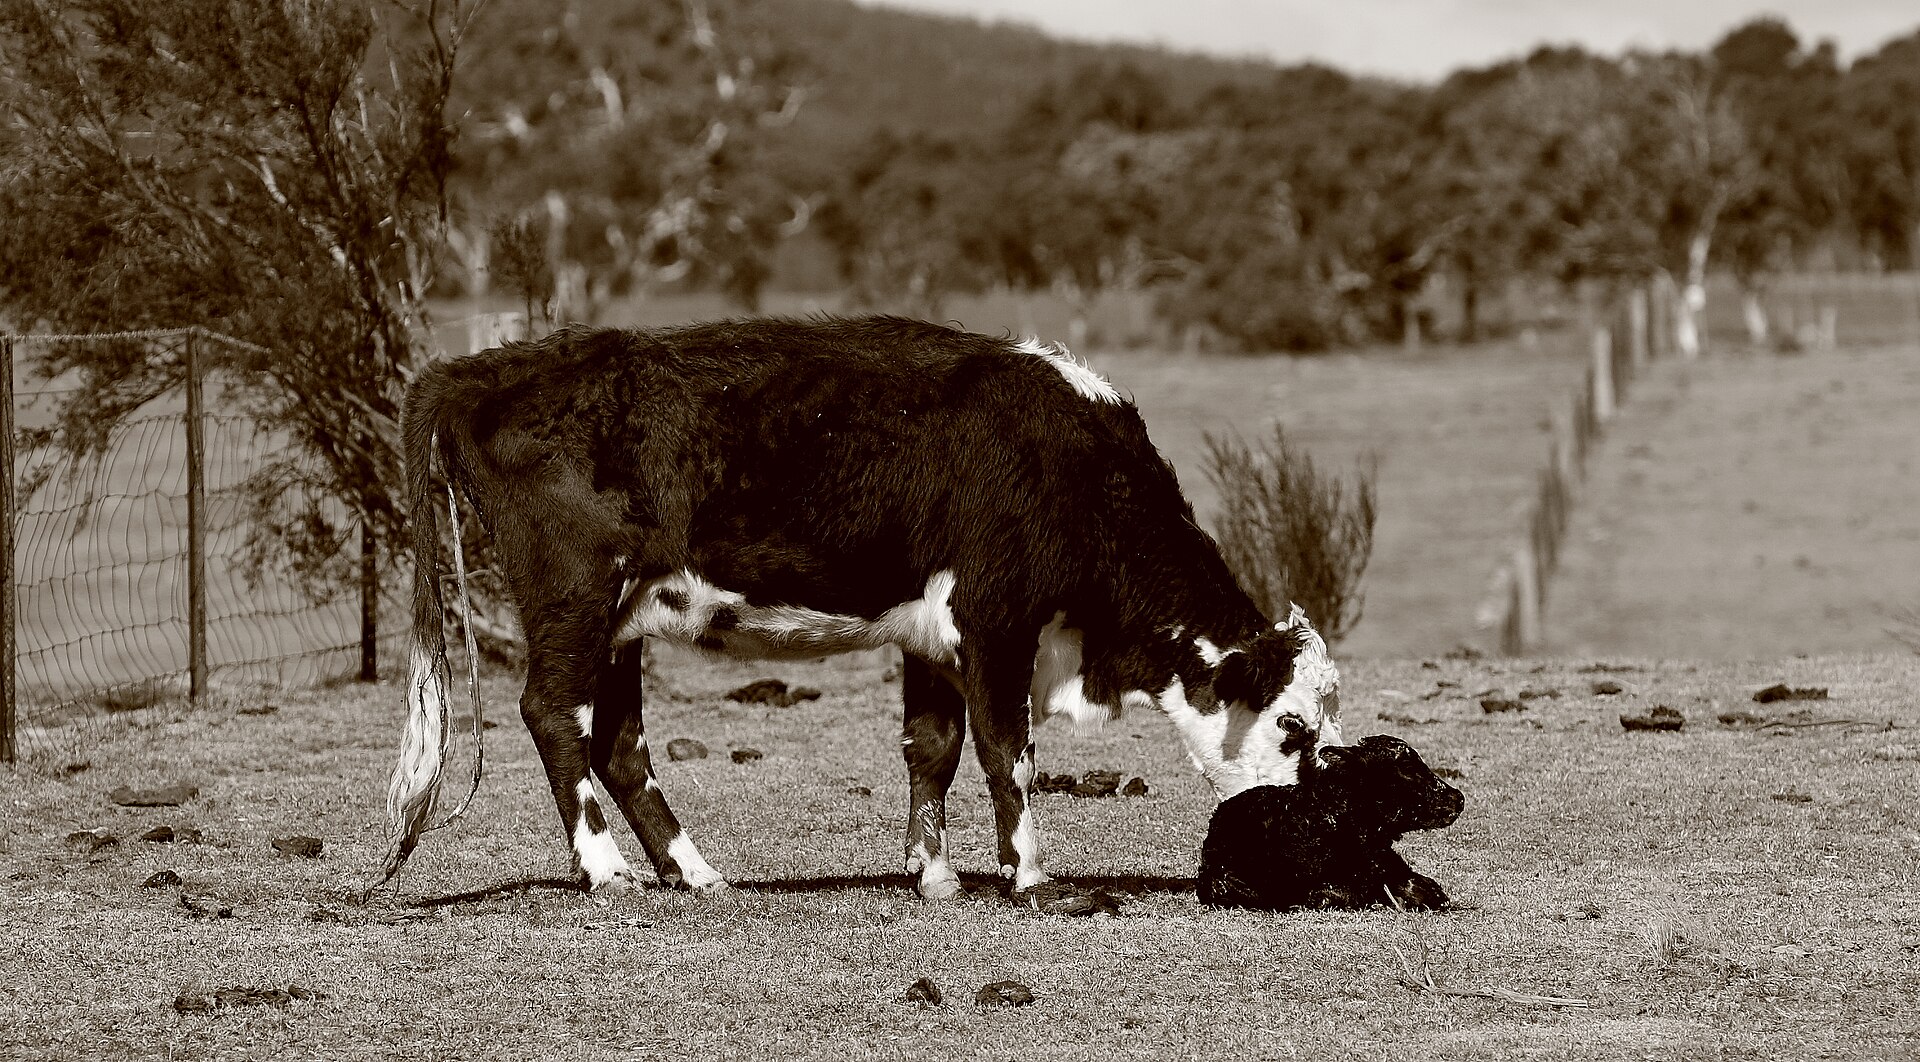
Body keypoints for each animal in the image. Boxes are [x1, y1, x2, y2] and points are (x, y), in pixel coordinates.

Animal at [380, 315, 1343, 901]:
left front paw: (935, 874)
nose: (1315, 822)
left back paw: (697, 872)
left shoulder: (931, 632)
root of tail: (490, 367)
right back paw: (606, 867)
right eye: (1292, 725)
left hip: (621, 621)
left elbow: (933, 747)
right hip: (576, 599)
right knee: (554, 716)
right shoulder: (997, 620)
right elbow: (1008, 751)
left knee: (618, 745)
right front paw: (1030, 875)